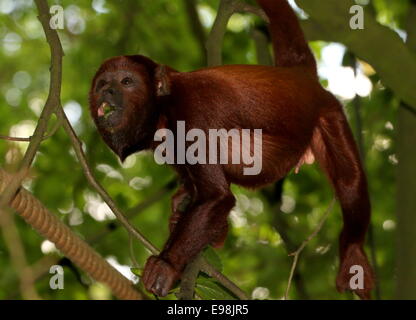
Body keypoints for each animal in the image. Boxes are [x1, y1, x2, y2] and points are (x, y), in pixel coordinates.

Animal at [88, 0, 374, 300]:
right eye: (102, 83)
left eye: (126, 81)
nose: (107, 91)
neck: (162, 108)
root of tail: (298, 77)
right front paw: (183, 205)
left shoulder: (193, 111)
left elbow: (216, 196)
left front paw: (167, 264)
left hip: (329, 111)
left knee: (348, 181)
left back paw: (353, 252)